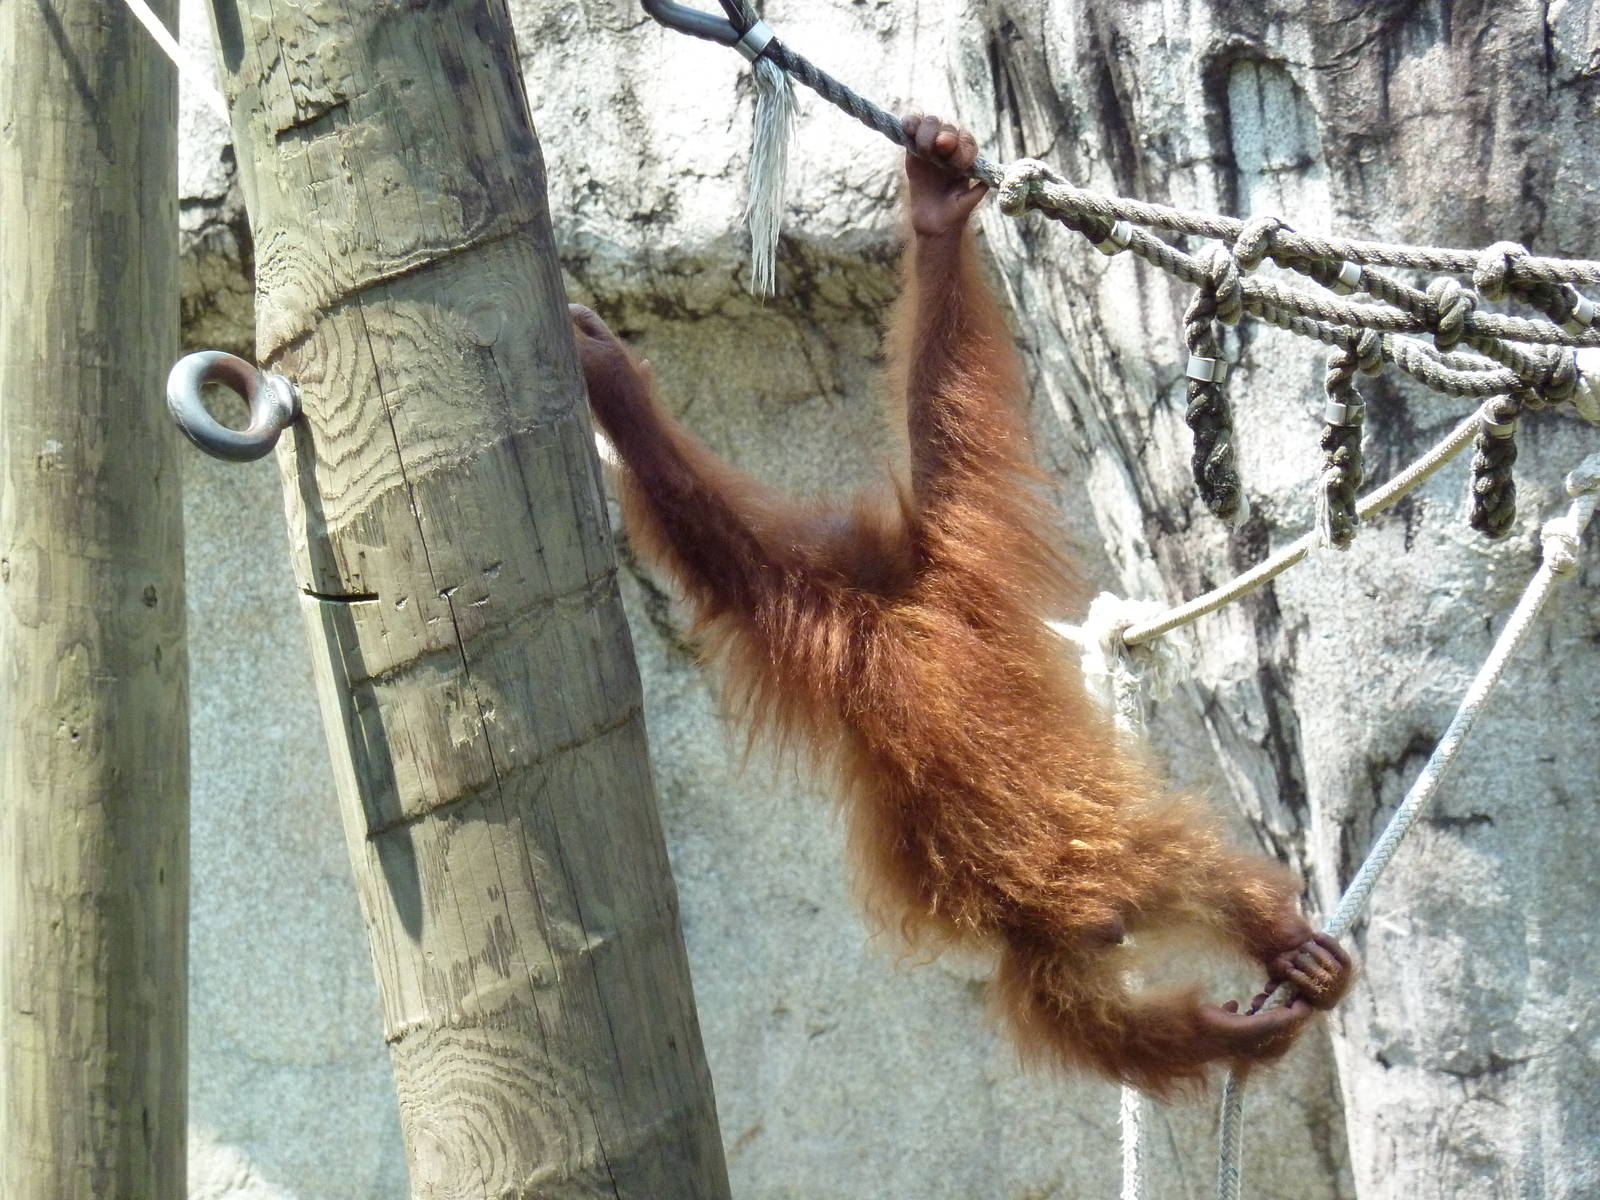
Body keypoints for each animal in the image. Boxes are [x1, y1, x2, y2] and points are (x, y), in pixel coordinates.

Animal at [569, 115, 1352, 1097]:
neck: (895, 600)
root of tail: (1099, 905)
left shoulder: (846, 593)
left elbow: (710, 524)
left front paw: (610, 382)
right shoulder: (942, 561)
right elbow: (941, 403)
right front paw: (937, 212)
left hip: (1111, 858)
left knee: (1171, 896)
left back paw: (1279, 951)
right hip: (1061, 937)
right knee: (1095, 1013)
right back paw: (1242, 1018)